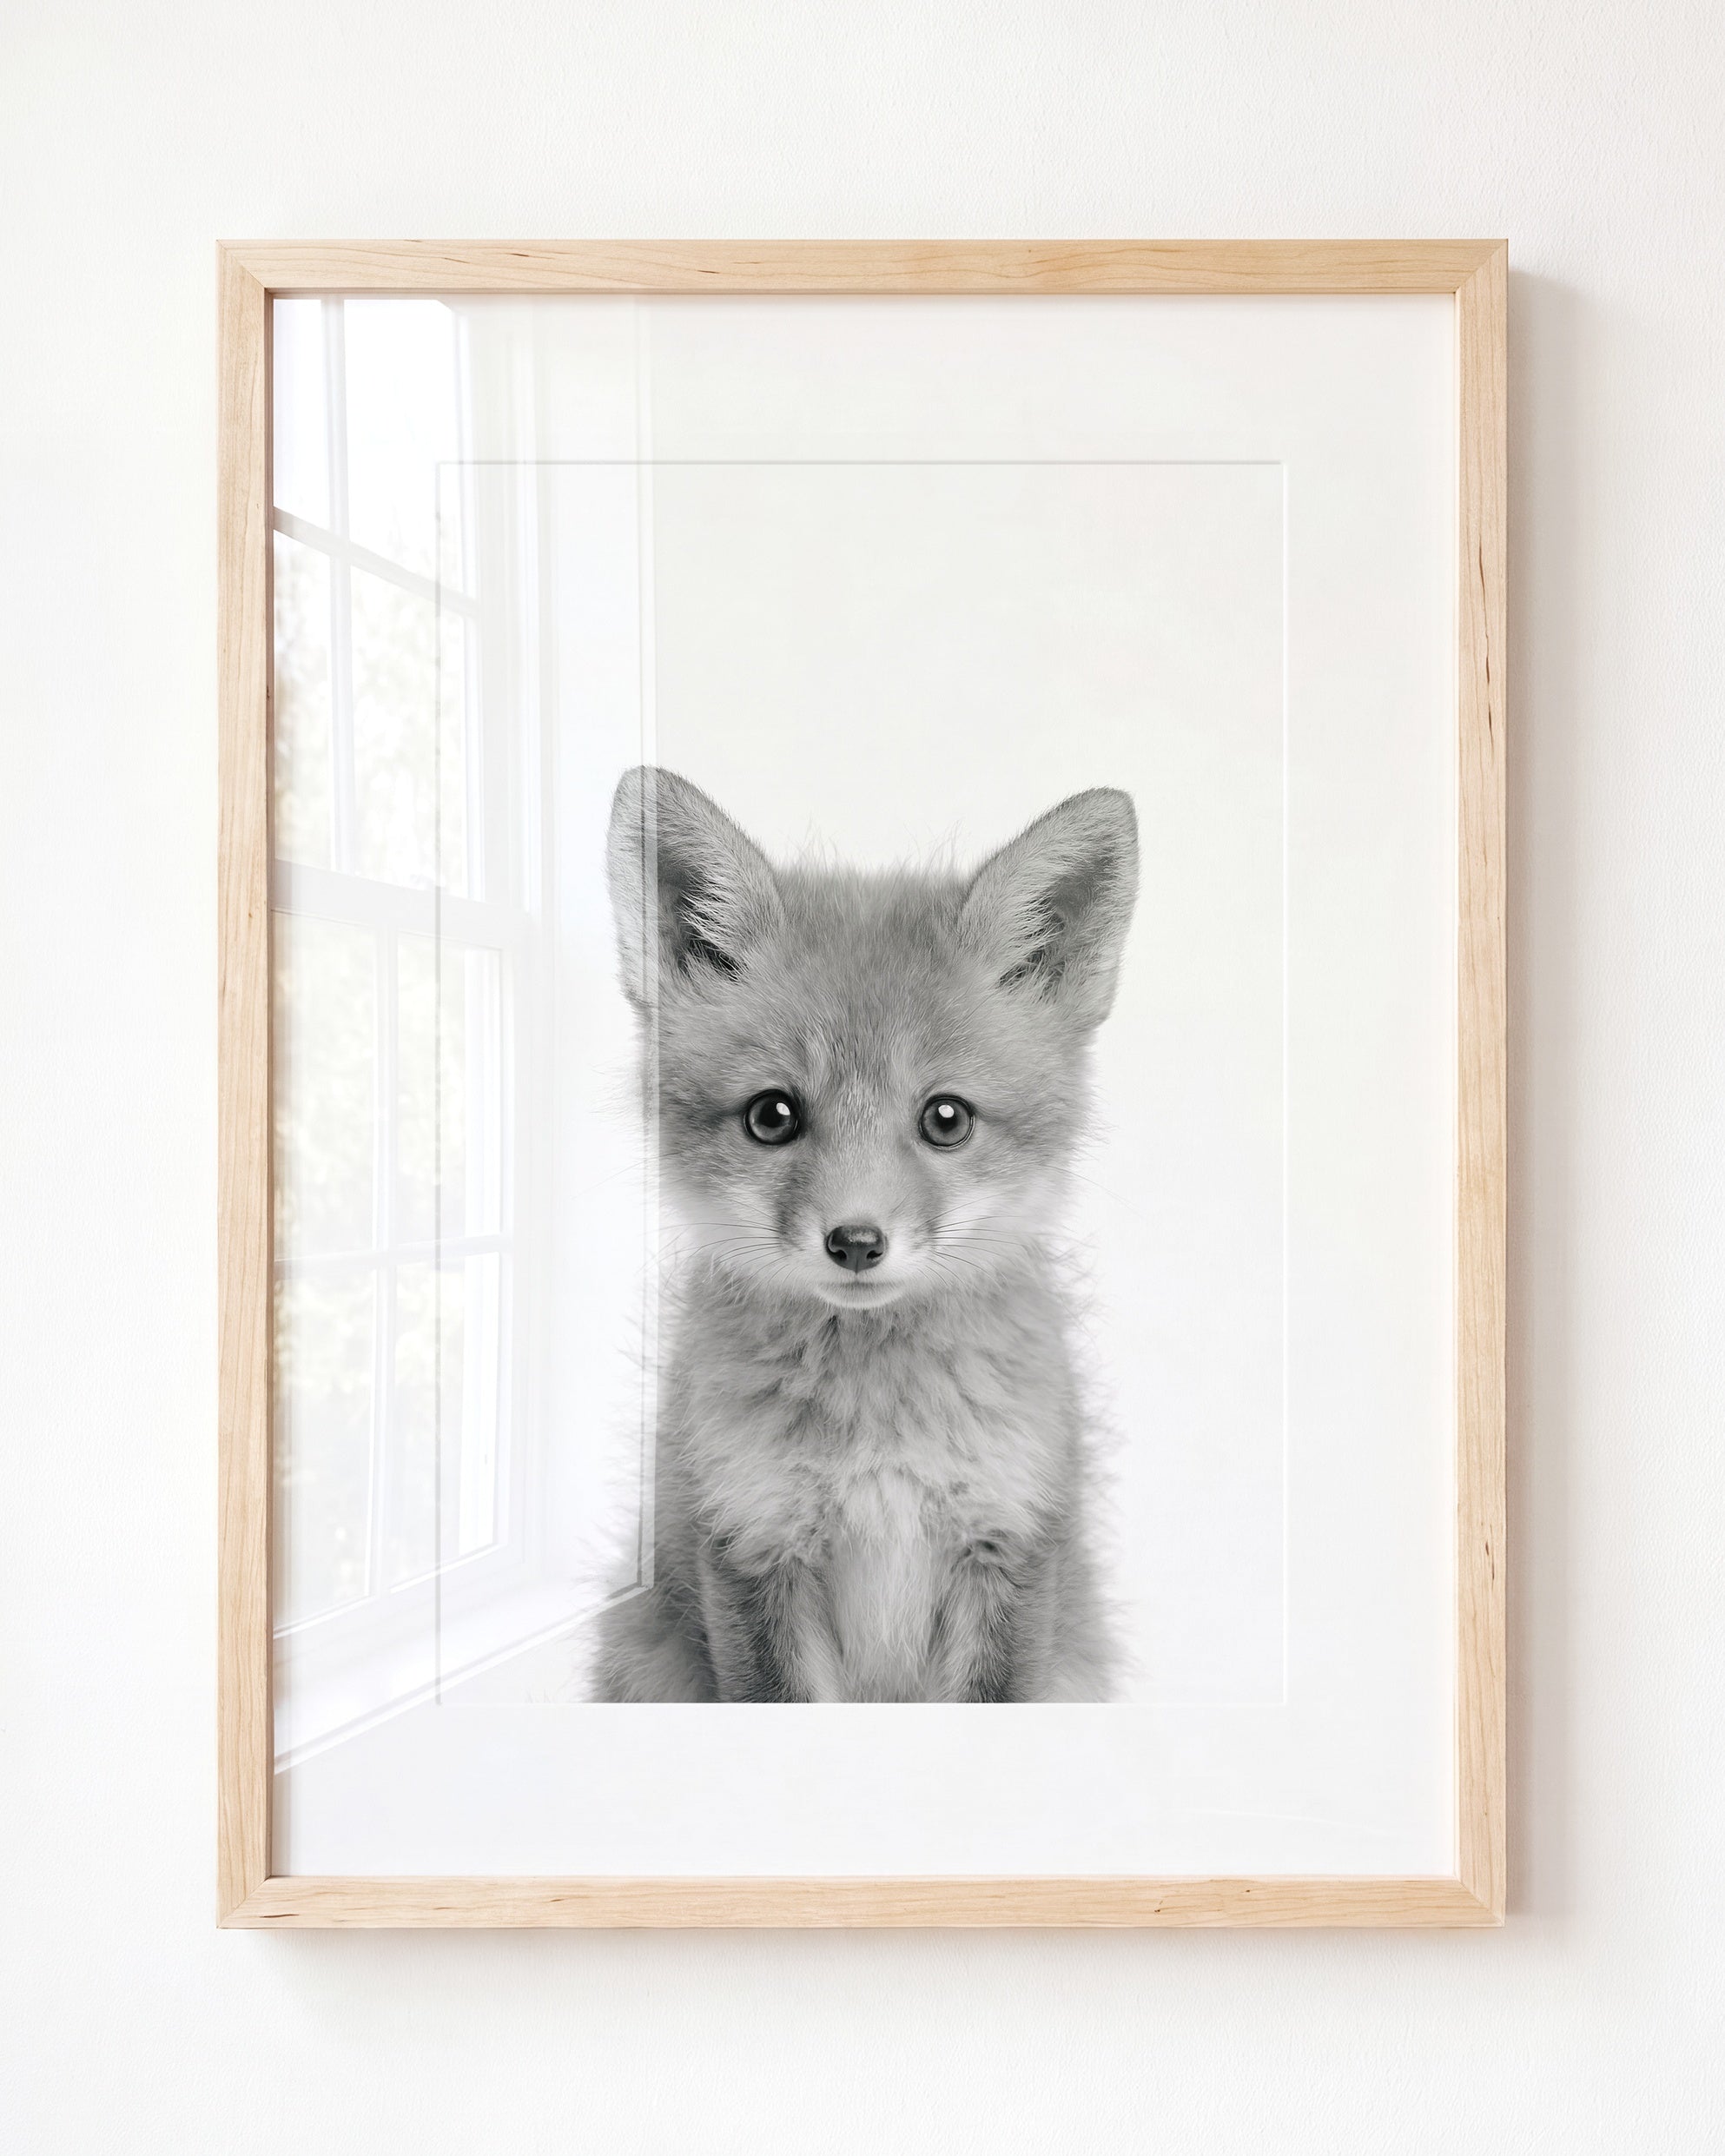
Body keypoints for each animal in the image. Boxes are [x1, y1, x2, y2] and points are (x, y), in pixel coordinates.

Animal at [592, 765, 1139, 1703]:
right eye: (772, 1116)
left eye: (946, 1119)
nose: (855, 1242)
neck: (879, 1437)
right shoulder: (751, 1544)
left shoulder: (1010, 1543)